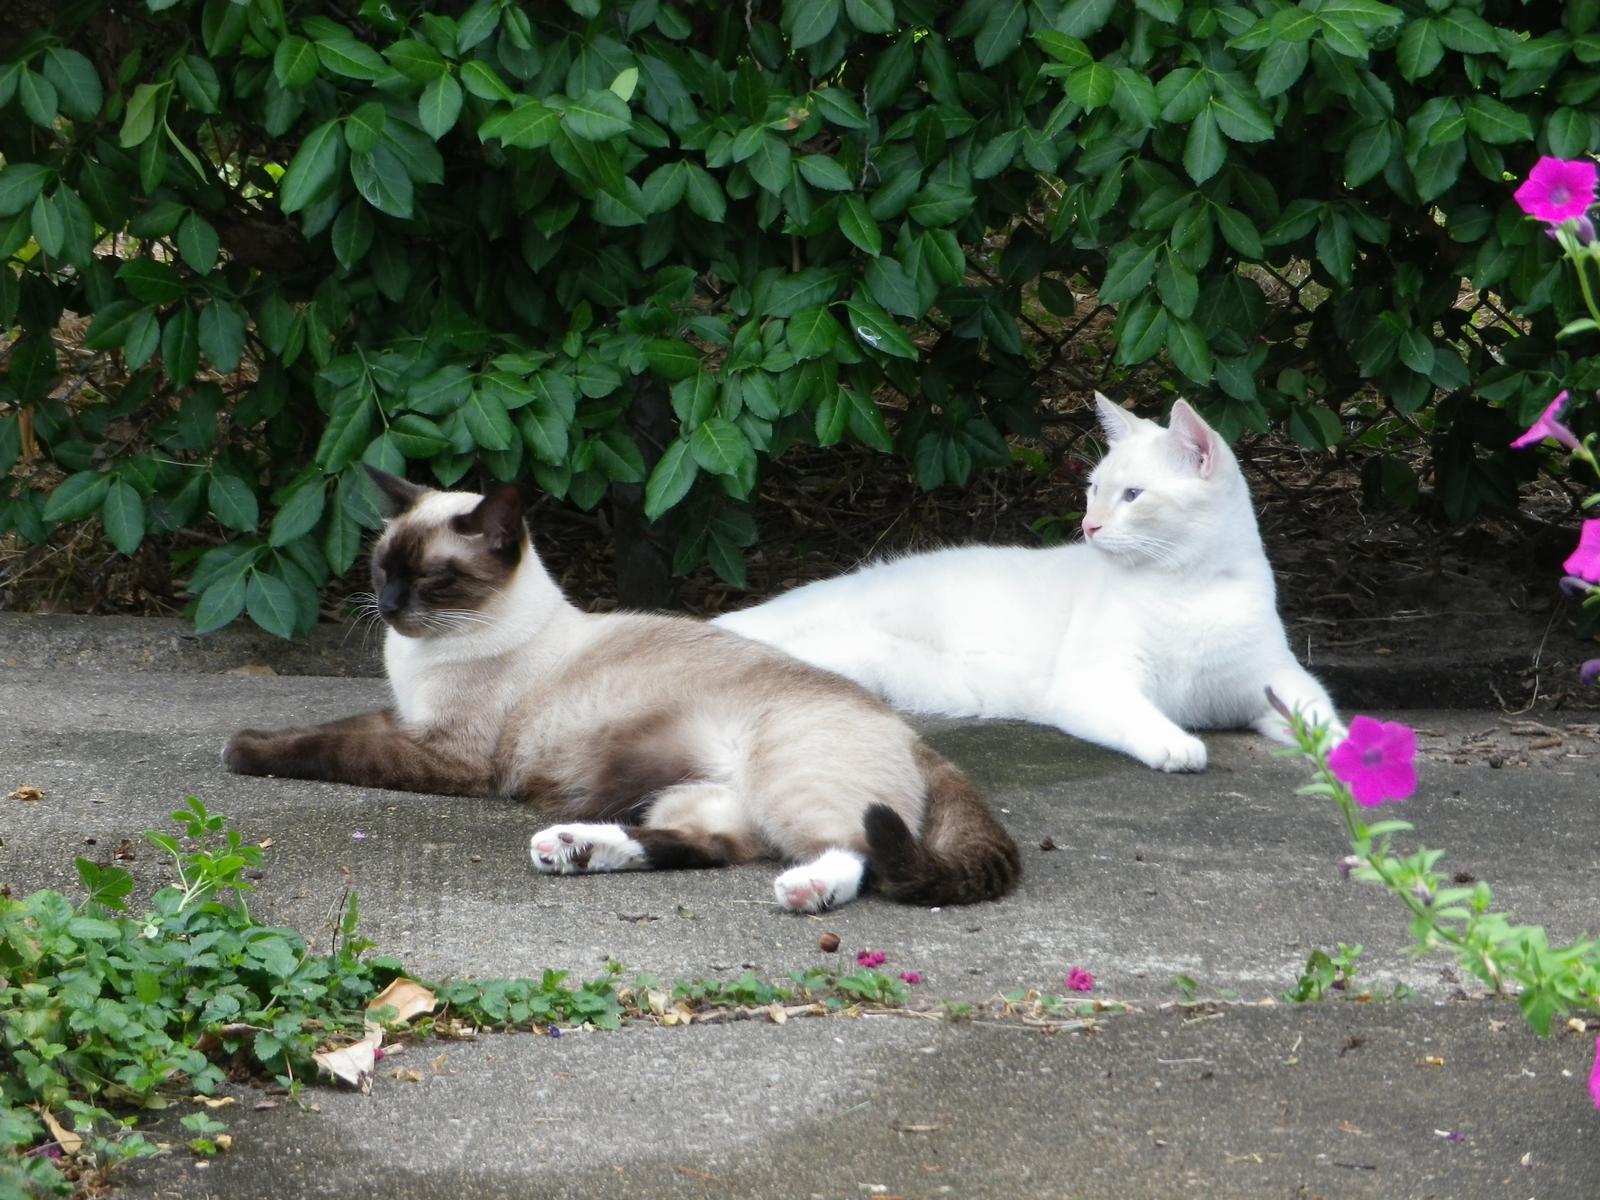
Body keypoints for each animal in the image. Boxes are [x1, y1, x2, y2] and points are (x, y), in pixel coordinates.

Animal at [222, 469, 1020, 912]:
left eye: (432, 580)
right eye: (381, 566)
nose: (386, 607)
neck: (420, 656)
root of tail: (912, 735)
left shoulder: (442, 751)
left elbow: (329, 746)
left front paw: (240, 749)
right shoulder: (407, 719)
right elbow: (340, 727)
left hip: (788, 783)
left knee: (854, 851)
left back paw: (801, 892)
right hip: (697, 795)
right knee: (711, 846)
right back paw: (571, 848)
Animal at [713, 394, 1342, 773]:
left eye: (1133, 495)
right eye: (1093, 489)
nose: (1089, 526)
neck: (1186, 586)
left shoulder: (1279, 678)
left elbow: (1319, 714)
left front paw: (1350, 751)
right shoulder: (1095, 682)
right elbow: (1140, 713)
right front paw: (1177, 744)